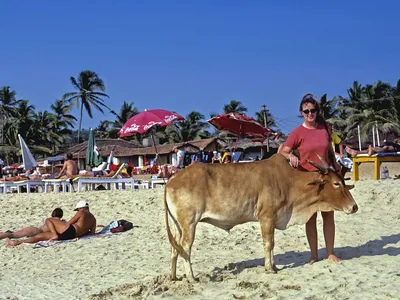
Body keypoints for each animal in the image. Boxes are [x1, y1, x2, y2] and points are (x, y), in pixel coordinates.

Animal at [164, 155, 358, 282]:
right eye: (336, 183)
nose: (354, 207)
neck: (289, 183)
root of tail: (171, 180)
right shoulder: (266, 217)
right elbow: (268, 244)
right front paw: (269, 269)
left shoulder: (272, 219)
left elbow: (272, 244)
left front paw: (274, 266)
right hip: (189, 223)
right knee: (186, 247)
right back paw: (191, 277)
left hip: (178, 225)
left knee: (175, 247)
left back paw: (173, 277)